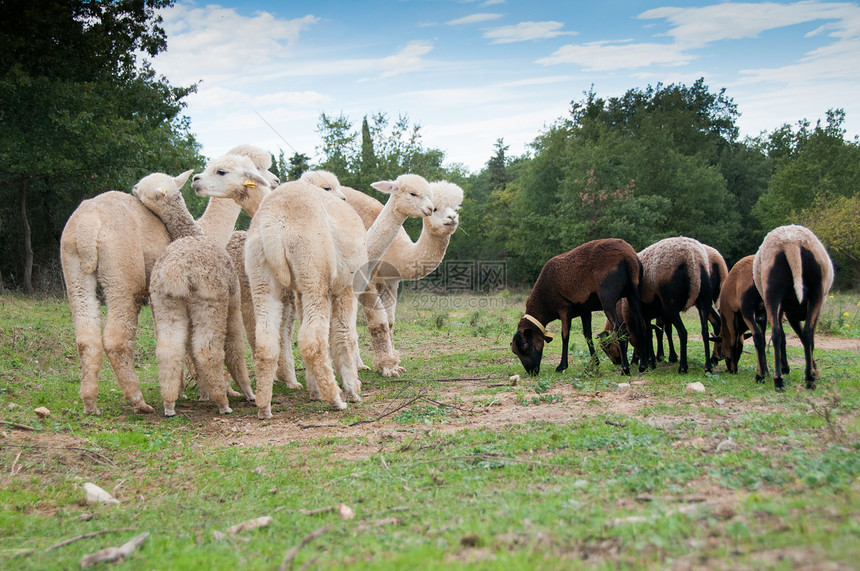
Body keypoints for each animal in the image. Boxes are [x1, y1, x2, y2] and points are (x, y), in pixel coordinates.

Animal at [132, 170, 262, 416]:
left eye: (143, 186)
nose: (133, 187)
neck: (192, 234)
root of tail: (179, 269)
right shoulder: (232, 302)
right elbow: (234, 346)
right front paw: (248, 392)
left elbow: (188, 351)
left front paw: (203, 392)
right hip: (210, 302)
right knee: (207, 350)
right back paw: (223, 403)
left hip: (167, 304)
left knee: (169, 350)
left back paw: (169, 404)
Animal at [510, 239, 644, 378]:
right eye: (515, 352)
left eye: (525, 346)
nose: (532, 372)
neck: (544, 301)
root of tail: (627, 256)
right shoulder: (585, 310)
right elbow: (587, 335)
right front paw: (595, 364)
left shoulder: (563, 308)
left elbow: (565, 336)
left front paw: (562, 366)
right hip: (634, 293)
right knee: (641, 325)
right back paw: (644, 366)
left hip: (608, 298)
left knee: (619, 330)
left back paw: (625, 369)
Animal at [752, 226, 832, 392]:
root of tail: (791, 244)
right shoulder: (793, 312)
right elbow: (807, 338)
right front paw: (813, 369)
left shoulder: (785, 308)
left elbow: (788, 336)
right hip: (815, 293)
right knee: (805, 332)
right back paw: (800, 379)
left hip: (774, 293)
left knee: (778, 334)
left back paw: (785, 380)